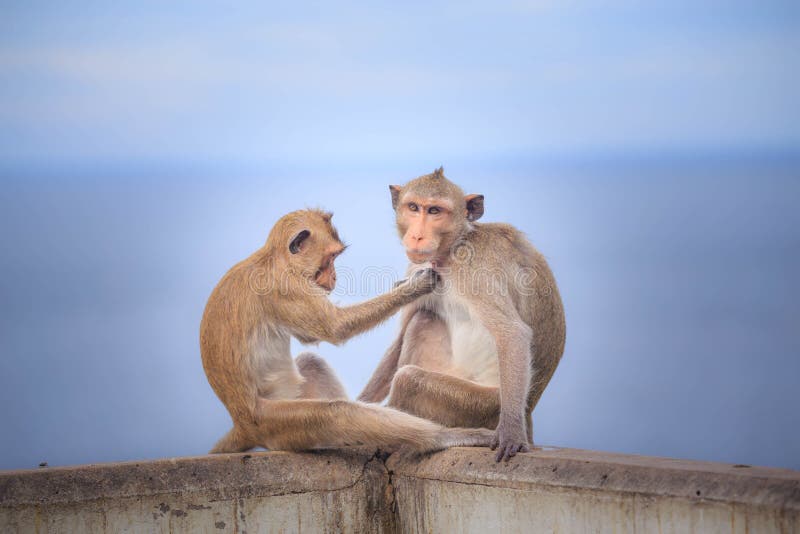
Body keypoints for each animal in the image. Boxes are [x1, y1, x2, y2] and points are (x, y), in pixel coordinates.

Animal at [200, 208, 494, 455]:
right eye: (330, 258)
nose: (334, 277)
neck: (274, 259)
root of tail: (241, 422)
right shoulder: (285, 287)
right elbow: (336, 328)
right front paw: (416, 286)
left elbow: (311, 338)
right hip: (270, 422)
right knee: (337, 414)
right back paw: (443, 437)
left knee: (312, 363)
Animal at [357, 168, 566, 462]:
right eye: (413, 207)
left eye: (435, 210)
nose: (417, 236)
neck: (452, 248)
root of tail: (529, 412)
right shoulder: (420, 268)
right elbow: (399, 339)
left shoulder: (472, 268)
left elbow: (512, 333)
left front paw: (511, 434)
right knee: (422, 319)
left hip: (482, 404)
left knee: (409, 380)